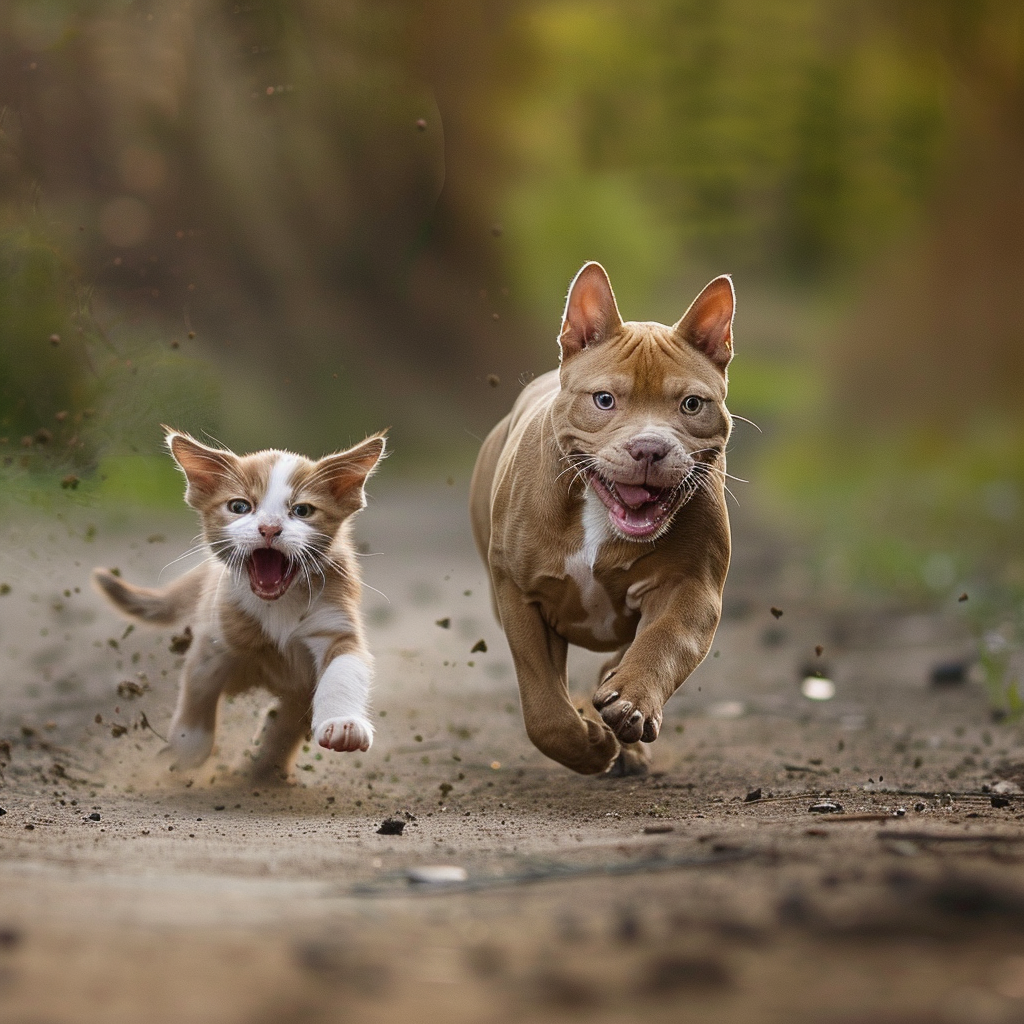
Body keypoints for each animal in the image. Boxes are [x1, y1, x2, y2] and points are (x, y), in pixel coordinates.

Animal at [92, 428, 385, 778]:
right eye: (240, 506)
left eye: (302, 511)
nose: (269, 528)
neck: (278, 606)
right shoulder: (216, 637)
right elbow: (197, 693)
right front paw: (184, 753)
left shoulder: (335, 623)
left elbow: (344, 669)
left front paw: (343, 725)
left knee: (287, 715)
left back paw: (268, 763)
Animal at [471, 260, 737, 770]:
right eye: (604, 400)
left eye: (692, 404)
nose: (649, 447)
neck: (598, 513)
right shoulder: (519, 593)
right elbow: (543, 704)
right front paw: (589, 746)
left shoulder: (691, 588)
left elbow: (665, 640)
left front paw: (631, 700)